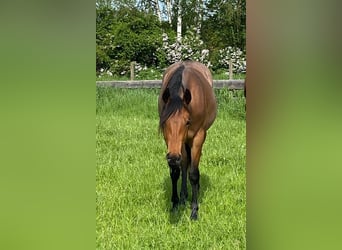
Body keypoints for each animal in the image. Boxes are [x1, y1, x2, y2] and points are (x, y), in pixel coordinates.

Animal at [158, 60, 216, 219]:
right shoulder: (170, 143)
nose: (173, 157)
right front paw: (175, 203)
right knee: (184, 164)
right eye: (164, 122)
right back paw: (183, 196)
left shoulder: (198, 137)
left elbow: (194, 174)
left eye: (187, 121)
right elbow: (176, 172)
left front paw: (194, 210)